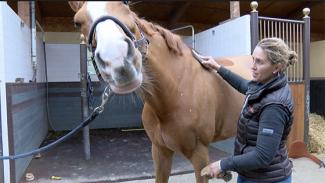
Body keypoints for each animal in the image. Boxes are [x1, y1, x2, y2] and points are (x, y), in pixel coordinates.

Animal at [67, 1, 251, 183]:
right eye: (77, 22)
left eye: (125, 4)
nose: (117, 59)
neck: (177, 90)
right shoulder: (160, 151)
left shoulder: (200, 156)